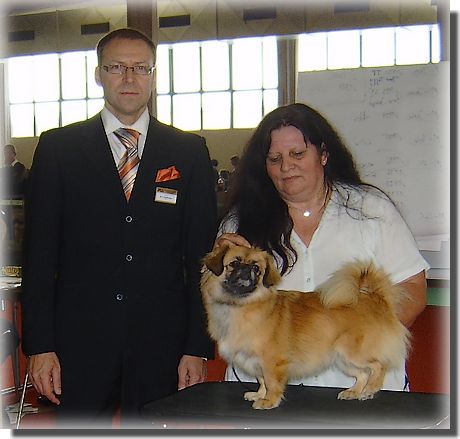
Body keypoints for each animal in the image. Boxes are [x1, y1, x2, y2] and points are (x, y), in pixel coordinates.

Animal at [200, 242, 410, 410]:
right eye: (234, 264)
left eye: (256, 268)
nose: (247, 270)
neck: (239, 306)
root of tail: (376, 298)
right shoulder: (256, 361)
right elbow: (262, 381)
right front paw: (259, 394)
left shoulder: (272, 361)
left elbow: (272, 383)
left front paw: (268, 401)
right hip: (342, 359)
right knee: (362, 374)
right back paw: (354, 392)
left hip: (354, 353)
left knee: (378, 366)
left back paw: (370, 390)